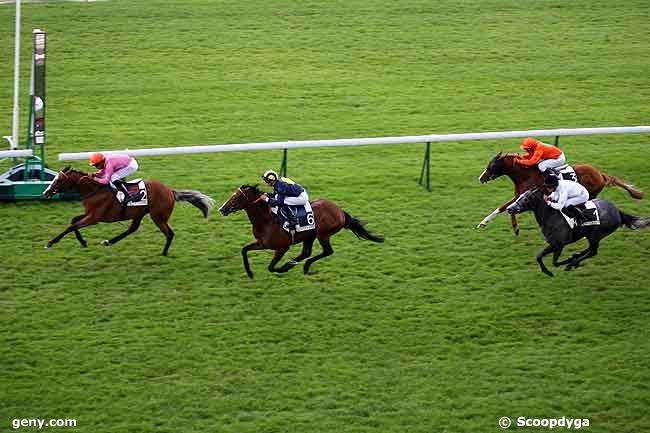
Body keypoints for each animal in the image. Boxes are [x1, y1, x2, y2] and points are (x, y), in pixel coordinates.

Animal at [42, 165, 213, 253]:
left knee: (169, 234)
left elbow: (71, 226)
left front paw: (50, 242)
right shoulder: (89, 214)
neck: (94, 191)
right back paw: (109, 241)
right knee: (132, 229)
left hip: (158, 216)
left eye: (58, 180)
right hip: (140, 213)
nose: (46, 193)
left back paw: (164, 253)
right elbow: (73, 221)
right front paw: (83, 242)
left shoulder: (94, 218)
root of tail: (170, 191)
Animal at [218, 184, 382, 278]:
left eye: (236, 197)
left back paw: (297, 265)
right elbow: (244, 250)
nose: (222, 209)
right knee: (306, 253)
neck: (266, 220)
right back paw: (295, 264)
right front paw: (249, 273)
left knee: (327, 251)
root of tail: (340, 211)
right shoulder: (262, 243)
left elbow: (271, 267)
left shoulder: (282, 247)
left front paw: (281, 269)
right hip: (310, 236)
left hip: (323, 234)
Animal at [474, 152, 640, 233]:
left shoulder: (529, 195)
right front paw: (483, 223)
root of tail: (601, 174)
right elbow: (504, 208)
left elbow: (509, 208)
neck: (525, 175)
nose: (481, 178)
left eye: (492, 166)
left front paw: (515, 228)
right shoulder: (519, 196)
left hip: (589, 194)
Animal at [506, 186, 648, 276]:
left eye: (525, 199)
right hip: (591, 235)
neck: (551, 216)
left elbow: (554, 262)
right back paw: (576, 257)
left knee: (593, 251)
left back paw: (573, 262)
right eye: (519, 196)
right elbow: (539, 256)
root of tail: (617, 211)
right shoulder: (553, 244)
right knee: (590, 249)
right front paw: (549, 271)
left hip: (596, 234)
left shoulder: (558, 245)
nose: (509, 208)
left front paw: (564, 264)